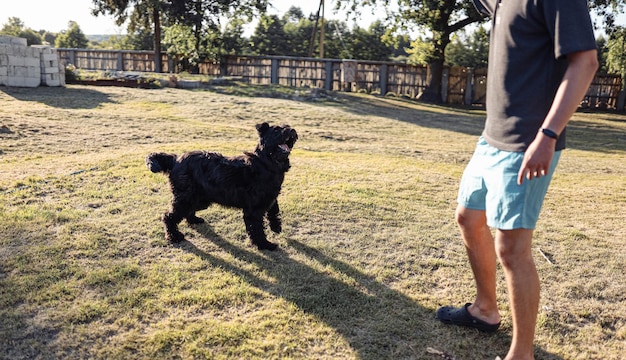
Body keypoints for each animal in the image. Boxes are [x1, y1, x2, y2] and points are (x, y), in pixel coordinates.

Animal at [145, 121, 296, 250]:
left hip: (199, 199)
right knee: (168, 216)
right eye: (276, 130)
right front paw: (264, 245)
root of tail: (175, 160)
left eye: (287, 126)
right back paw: (174, 236)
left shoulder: (270, 198)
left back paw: (194, 220)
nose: (293, 130)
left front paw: (276, 227)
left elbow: (274, 210)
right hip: (186, 198)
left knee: (187, 211)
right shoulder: (253, 209)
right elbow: (257, 229)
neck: (266, 163)